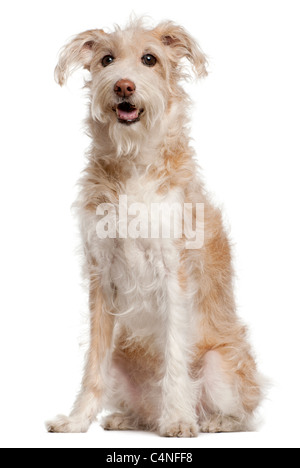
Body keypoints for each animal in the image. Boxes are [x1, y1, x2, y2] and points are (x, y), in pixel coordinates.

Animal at [46, 17, 262, 436]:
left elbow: (176, 355)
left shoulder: (173, 273)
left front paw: (177, 418)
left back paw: (211, 421)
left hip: (222, 366)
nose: (123, 86)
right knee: (136, 403)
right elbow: (92, 364)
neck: (133, 161)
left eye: (150, 59)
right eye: (107, 59)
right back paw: (126, 417)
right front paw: (78, 420)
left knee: (243, 414)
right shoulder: (101, 276)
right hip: (122, 362)